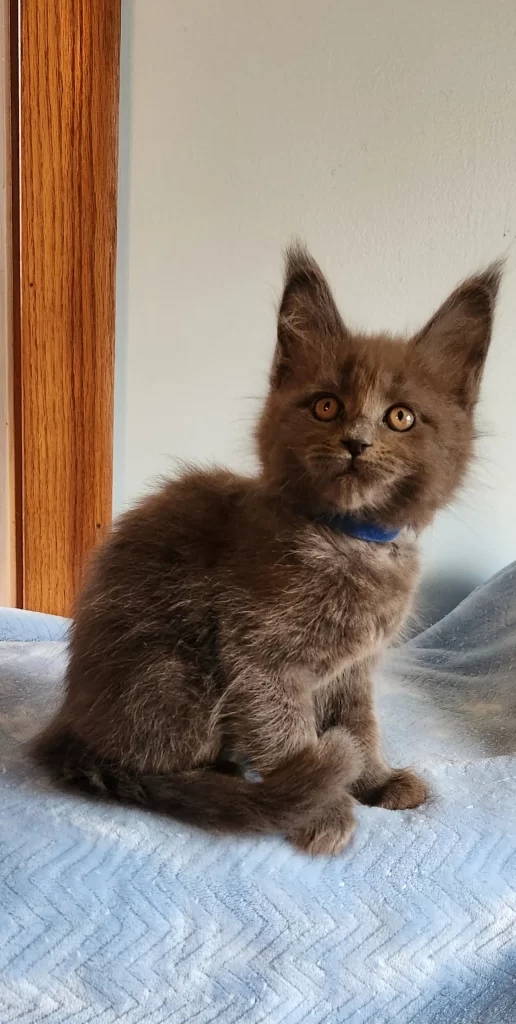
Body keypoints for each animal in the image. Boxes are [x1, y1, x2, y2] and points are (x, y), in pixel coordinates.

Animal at [31, 247, 499, 856]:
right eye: (325, 406)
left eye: (401, 416)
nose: (356, 442)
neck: (347, 538)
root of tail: (69, 725)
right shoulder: (259, 656)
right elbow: (287, 731)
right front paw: (322, 805)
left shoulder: (353, 670)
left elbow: (360, 725)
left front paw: (376, 779)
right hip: (173, 675)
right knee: (142, 765)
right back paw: (225, 782)